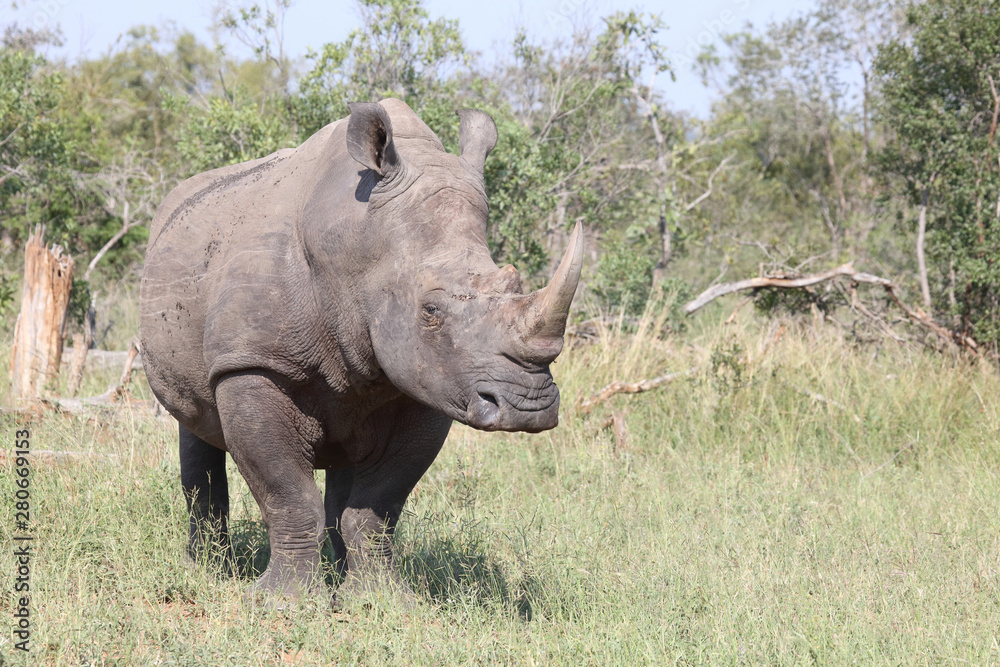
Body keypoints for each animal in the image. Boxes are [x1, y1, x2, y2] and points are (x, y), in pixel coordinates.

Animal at [139, 98, 583, 607]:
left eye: (512, 282)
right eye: (430, 311)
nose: (529, 407)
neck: (359, 246)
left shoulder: (430, 382)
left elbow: (378, 507)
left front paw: (382, 601)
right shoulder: (252, 363)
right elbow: (287, 496)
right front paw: (282, 602)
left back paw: (337, 575)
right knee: (195, 428)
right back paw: (209, 570)